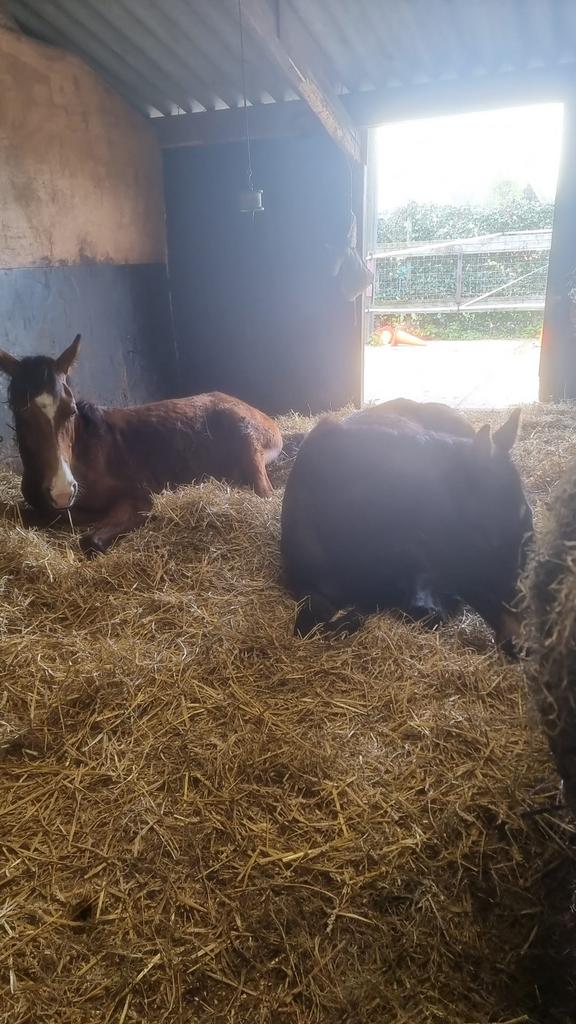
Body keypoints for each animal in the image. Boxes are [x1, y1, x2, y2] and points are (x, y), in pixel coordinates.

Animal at [0, 335, 283, 556]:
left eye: (70, 411)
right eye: (19, 413)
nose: (62, 491)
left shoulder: (139, 500)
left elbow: (91, 540)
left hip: (247, 443)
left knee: (266, 493)